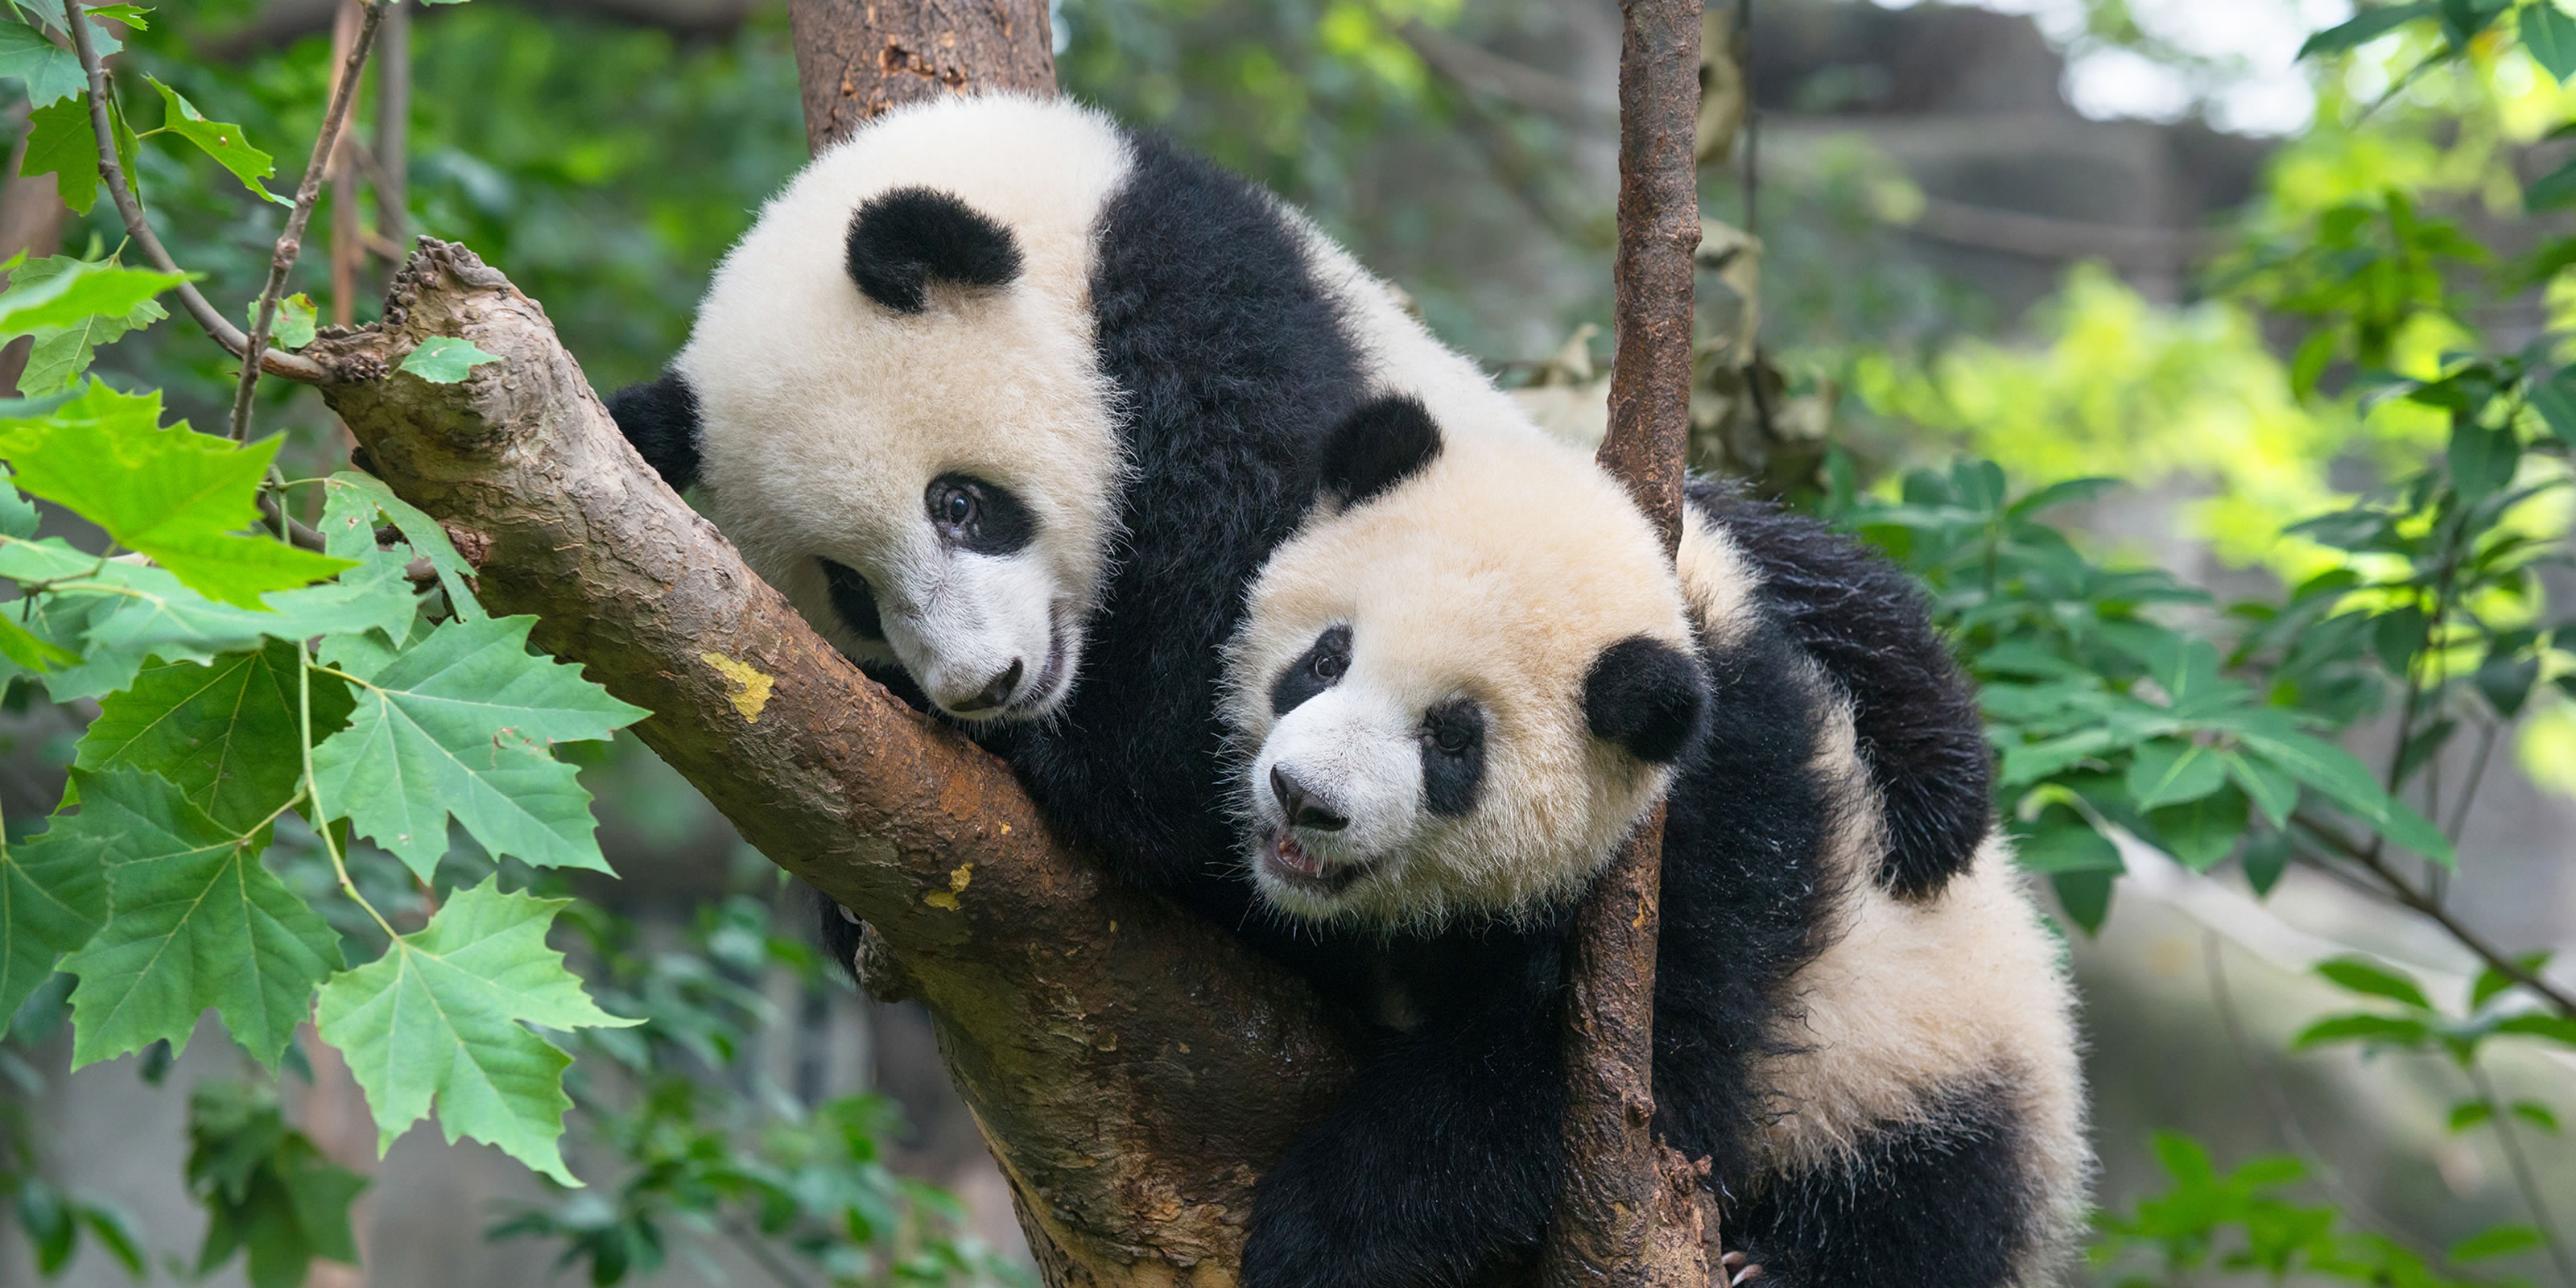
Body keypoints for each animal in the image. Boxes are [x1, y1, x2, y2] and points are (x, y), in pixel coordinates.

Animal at [1219, 393, 2090, 1288]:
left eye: (1452, 741)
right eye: (1327, 658)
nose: (1306, 798)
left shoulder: (1711, 840)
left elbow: (1636, 1082)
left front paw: (1317, 1227)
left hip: (1927, 1071)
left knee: (1924, 1204)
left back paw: (1777, 1266)